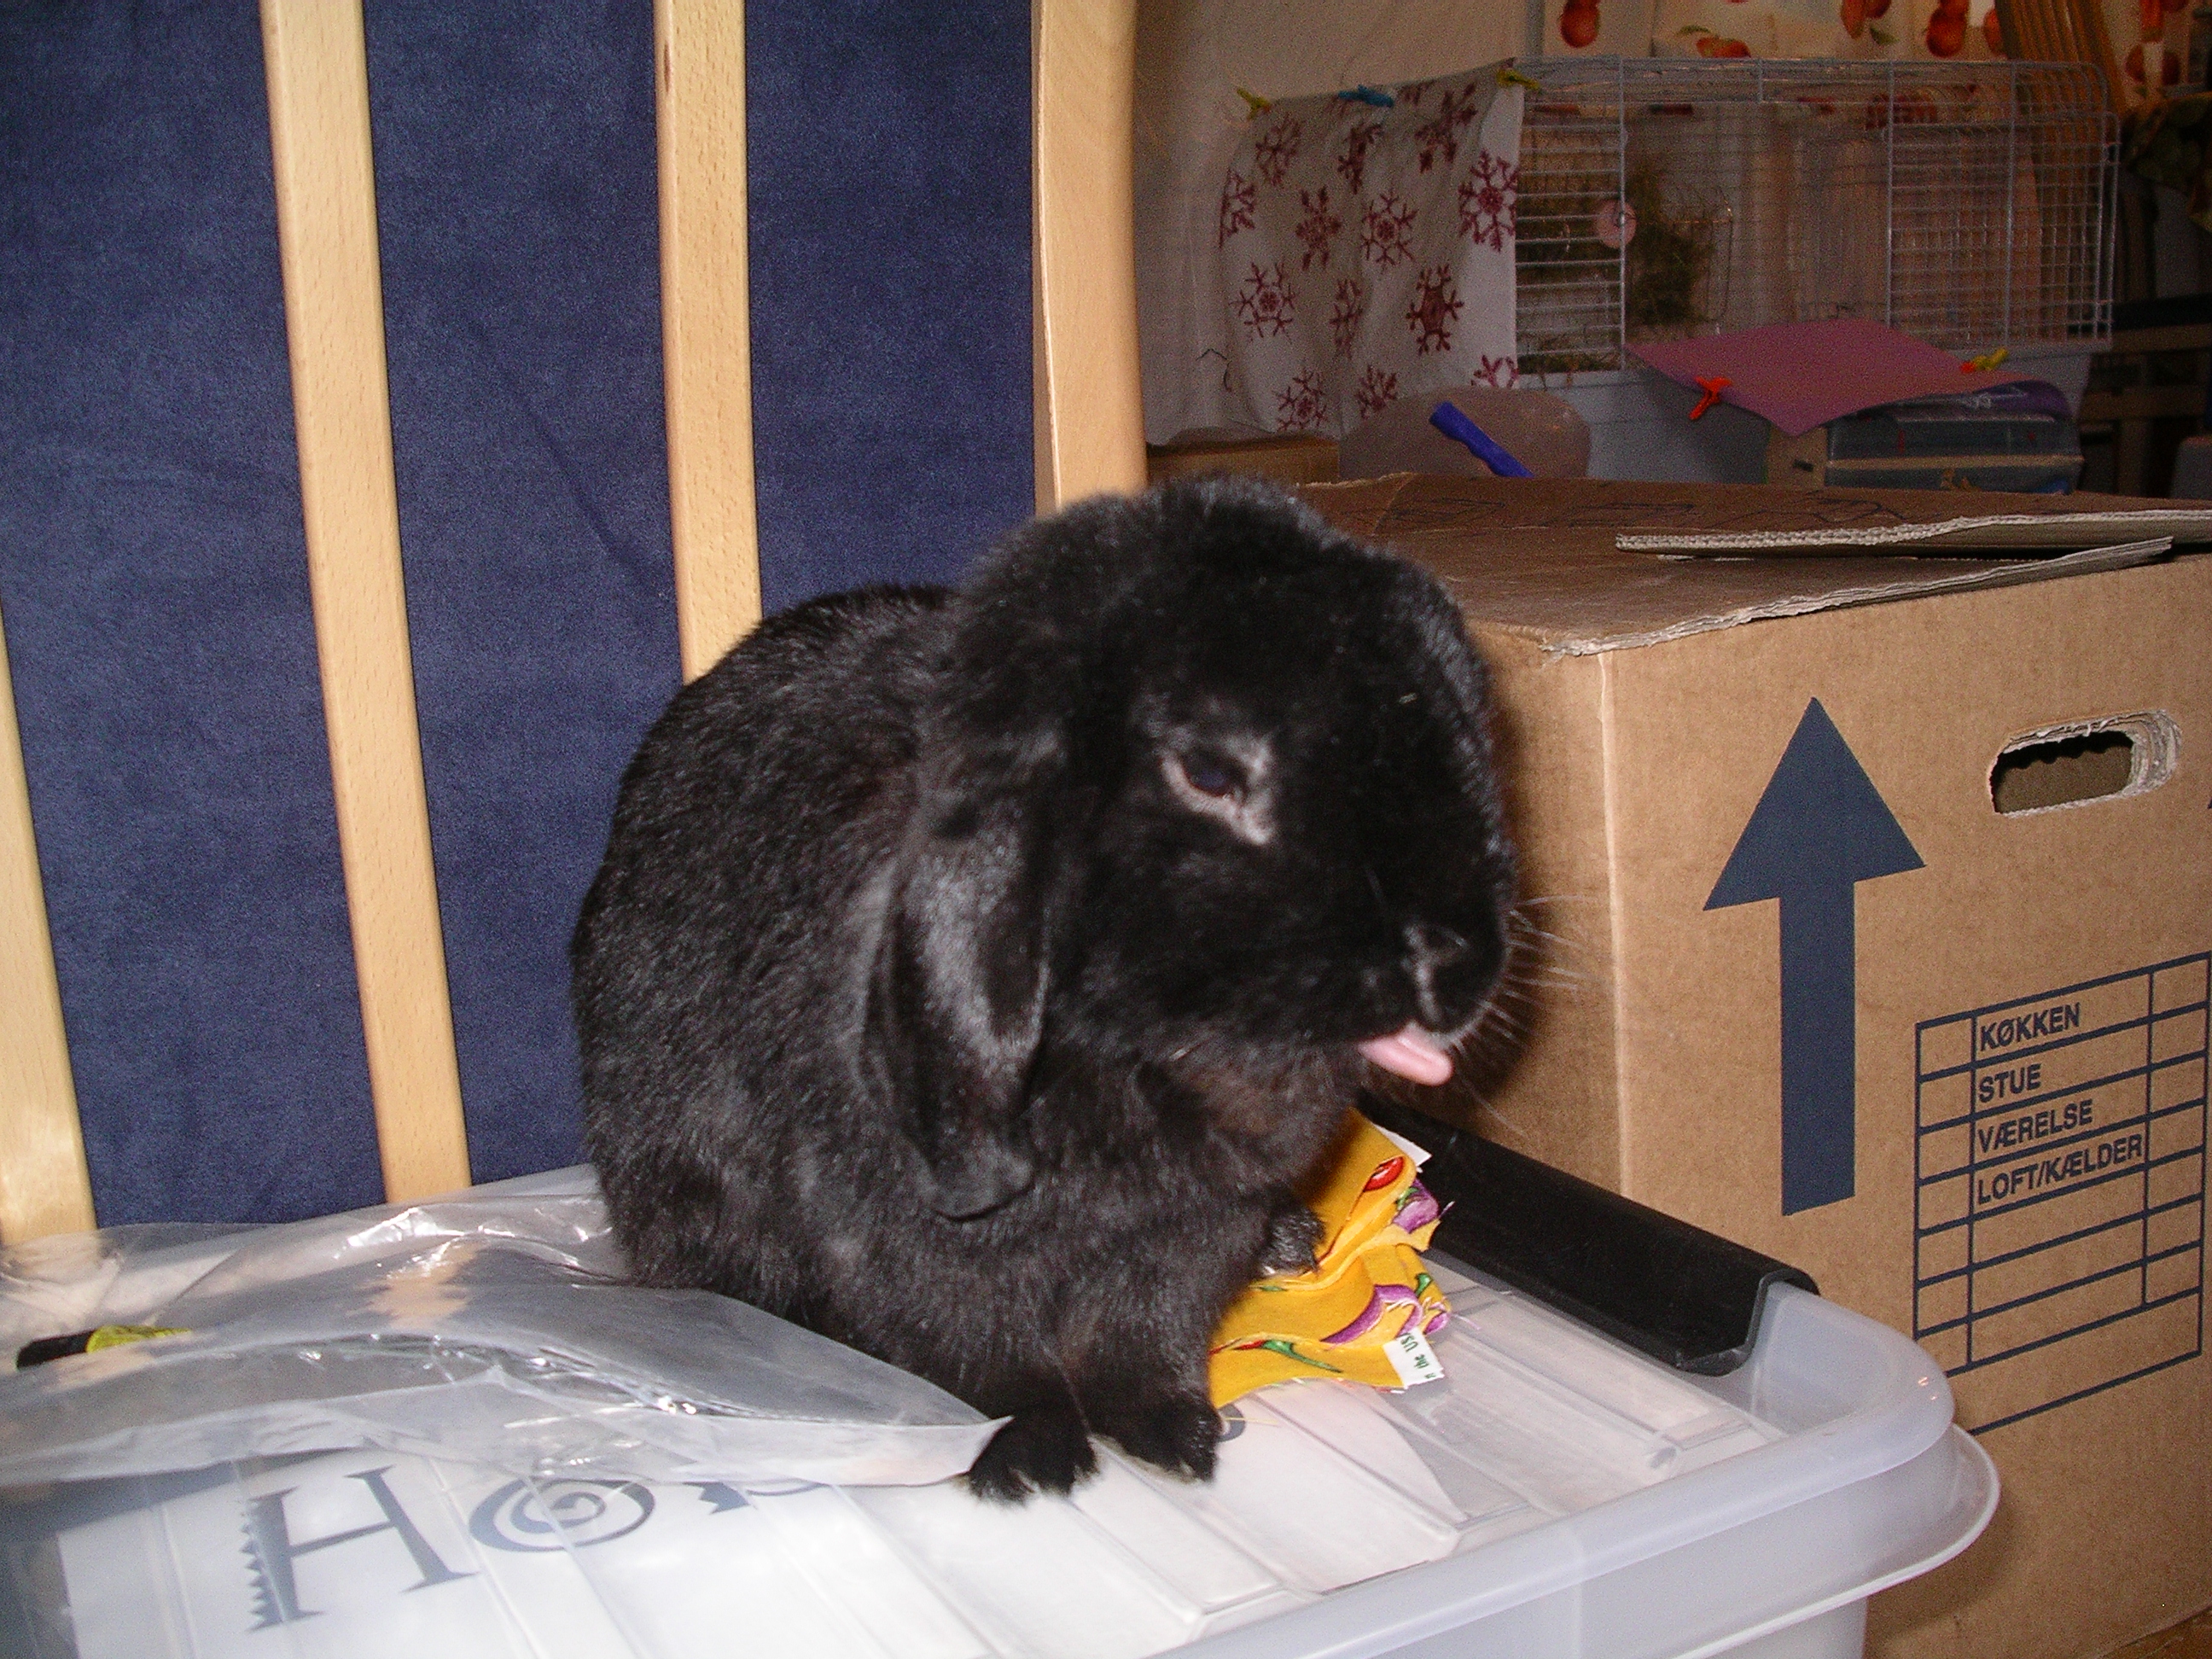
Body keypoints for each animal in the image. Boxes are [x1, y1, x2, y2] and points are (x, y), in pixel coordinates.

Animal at [571, 475, 1516, 1501]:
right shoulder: (915, 1242)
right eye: (1210, 773)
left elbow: (1140, 1340)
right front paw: (1031, 1459)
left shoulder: (1186, 1235)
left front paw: (1175, 1437)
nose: (1456, 962)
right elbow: (983, 1354)